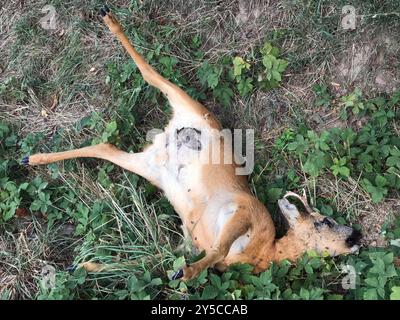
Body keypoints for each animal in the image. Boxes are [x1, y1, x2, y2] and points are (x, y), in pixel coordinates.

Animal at [21, 5, 362, 280]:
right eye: (325, 220)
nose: (355, 235)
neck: (264, 253)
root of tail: (167, 136)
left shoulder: (186, 243)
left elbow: (154, 262)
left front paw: (84, 265)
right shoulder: (247, 210)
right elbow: (217, 250)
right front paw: (187, 273)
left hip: (148, 166)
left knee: (105, 146)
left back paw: (31, 158)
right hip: (185, 103)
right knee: (149, 73)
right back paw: (109, 17)